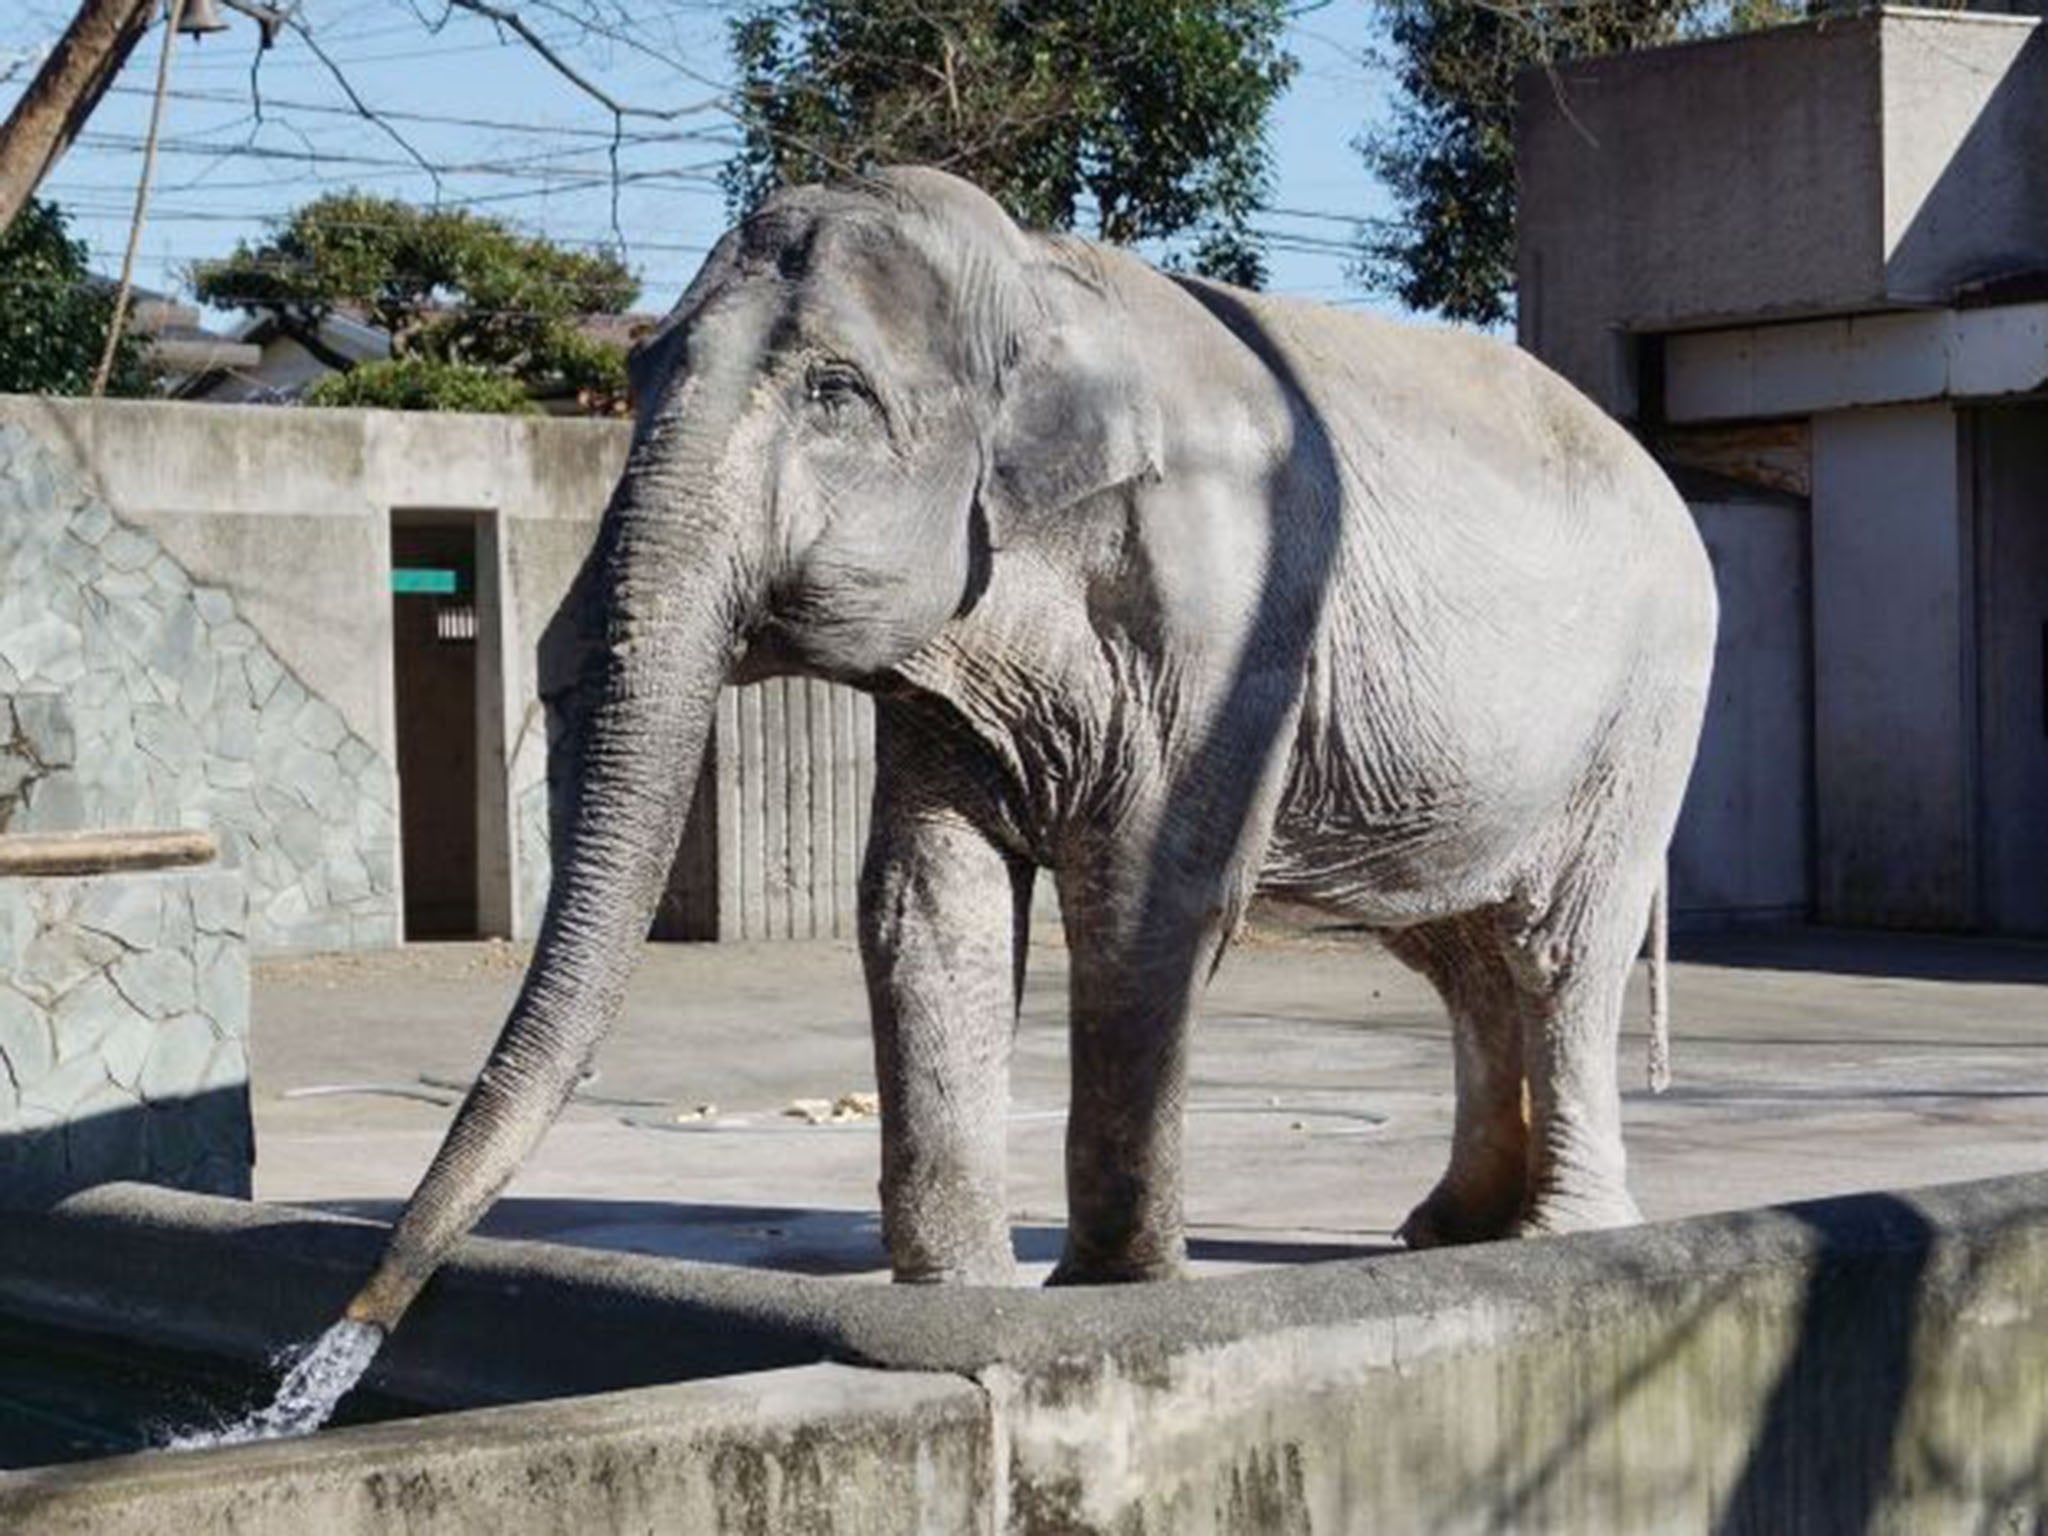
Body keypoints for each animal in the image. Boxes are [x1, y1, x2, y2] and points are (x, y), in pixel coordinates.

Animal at [344, 159, 1720, 1335]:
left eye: (833, 392)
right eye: (633, 384)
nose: (356, 1323)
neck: (1035, 275)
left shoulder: (1230, 604)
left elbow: (1150, 894)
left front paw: (1110, 1293)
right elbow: (923, 897)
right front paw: (965, 1298)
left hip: (1647, 706)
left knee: (1556, 949)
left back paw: (1559, 1236)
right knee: (1456, 952)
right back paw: (1447, 1232)